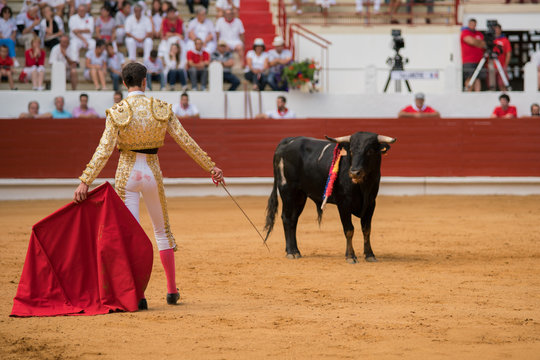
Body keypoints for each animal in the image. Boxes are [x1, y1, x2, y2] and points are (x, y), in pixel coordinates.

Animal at [264, 131, 396, 262]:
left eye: (370, 151)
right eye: (351, 151)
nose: (354, 172)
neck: (363, 186)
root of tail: (288, 141)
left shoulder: (370, 203)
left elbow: (366, 229)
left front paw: (370, 255)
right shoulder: (344, 204)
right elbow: (349, 230)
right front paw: (350, 256)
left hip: (300, 196)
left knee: (293, 220)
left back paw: (296, 251)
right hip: (287, 191)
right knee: (286, 218)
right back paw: (291, 252)